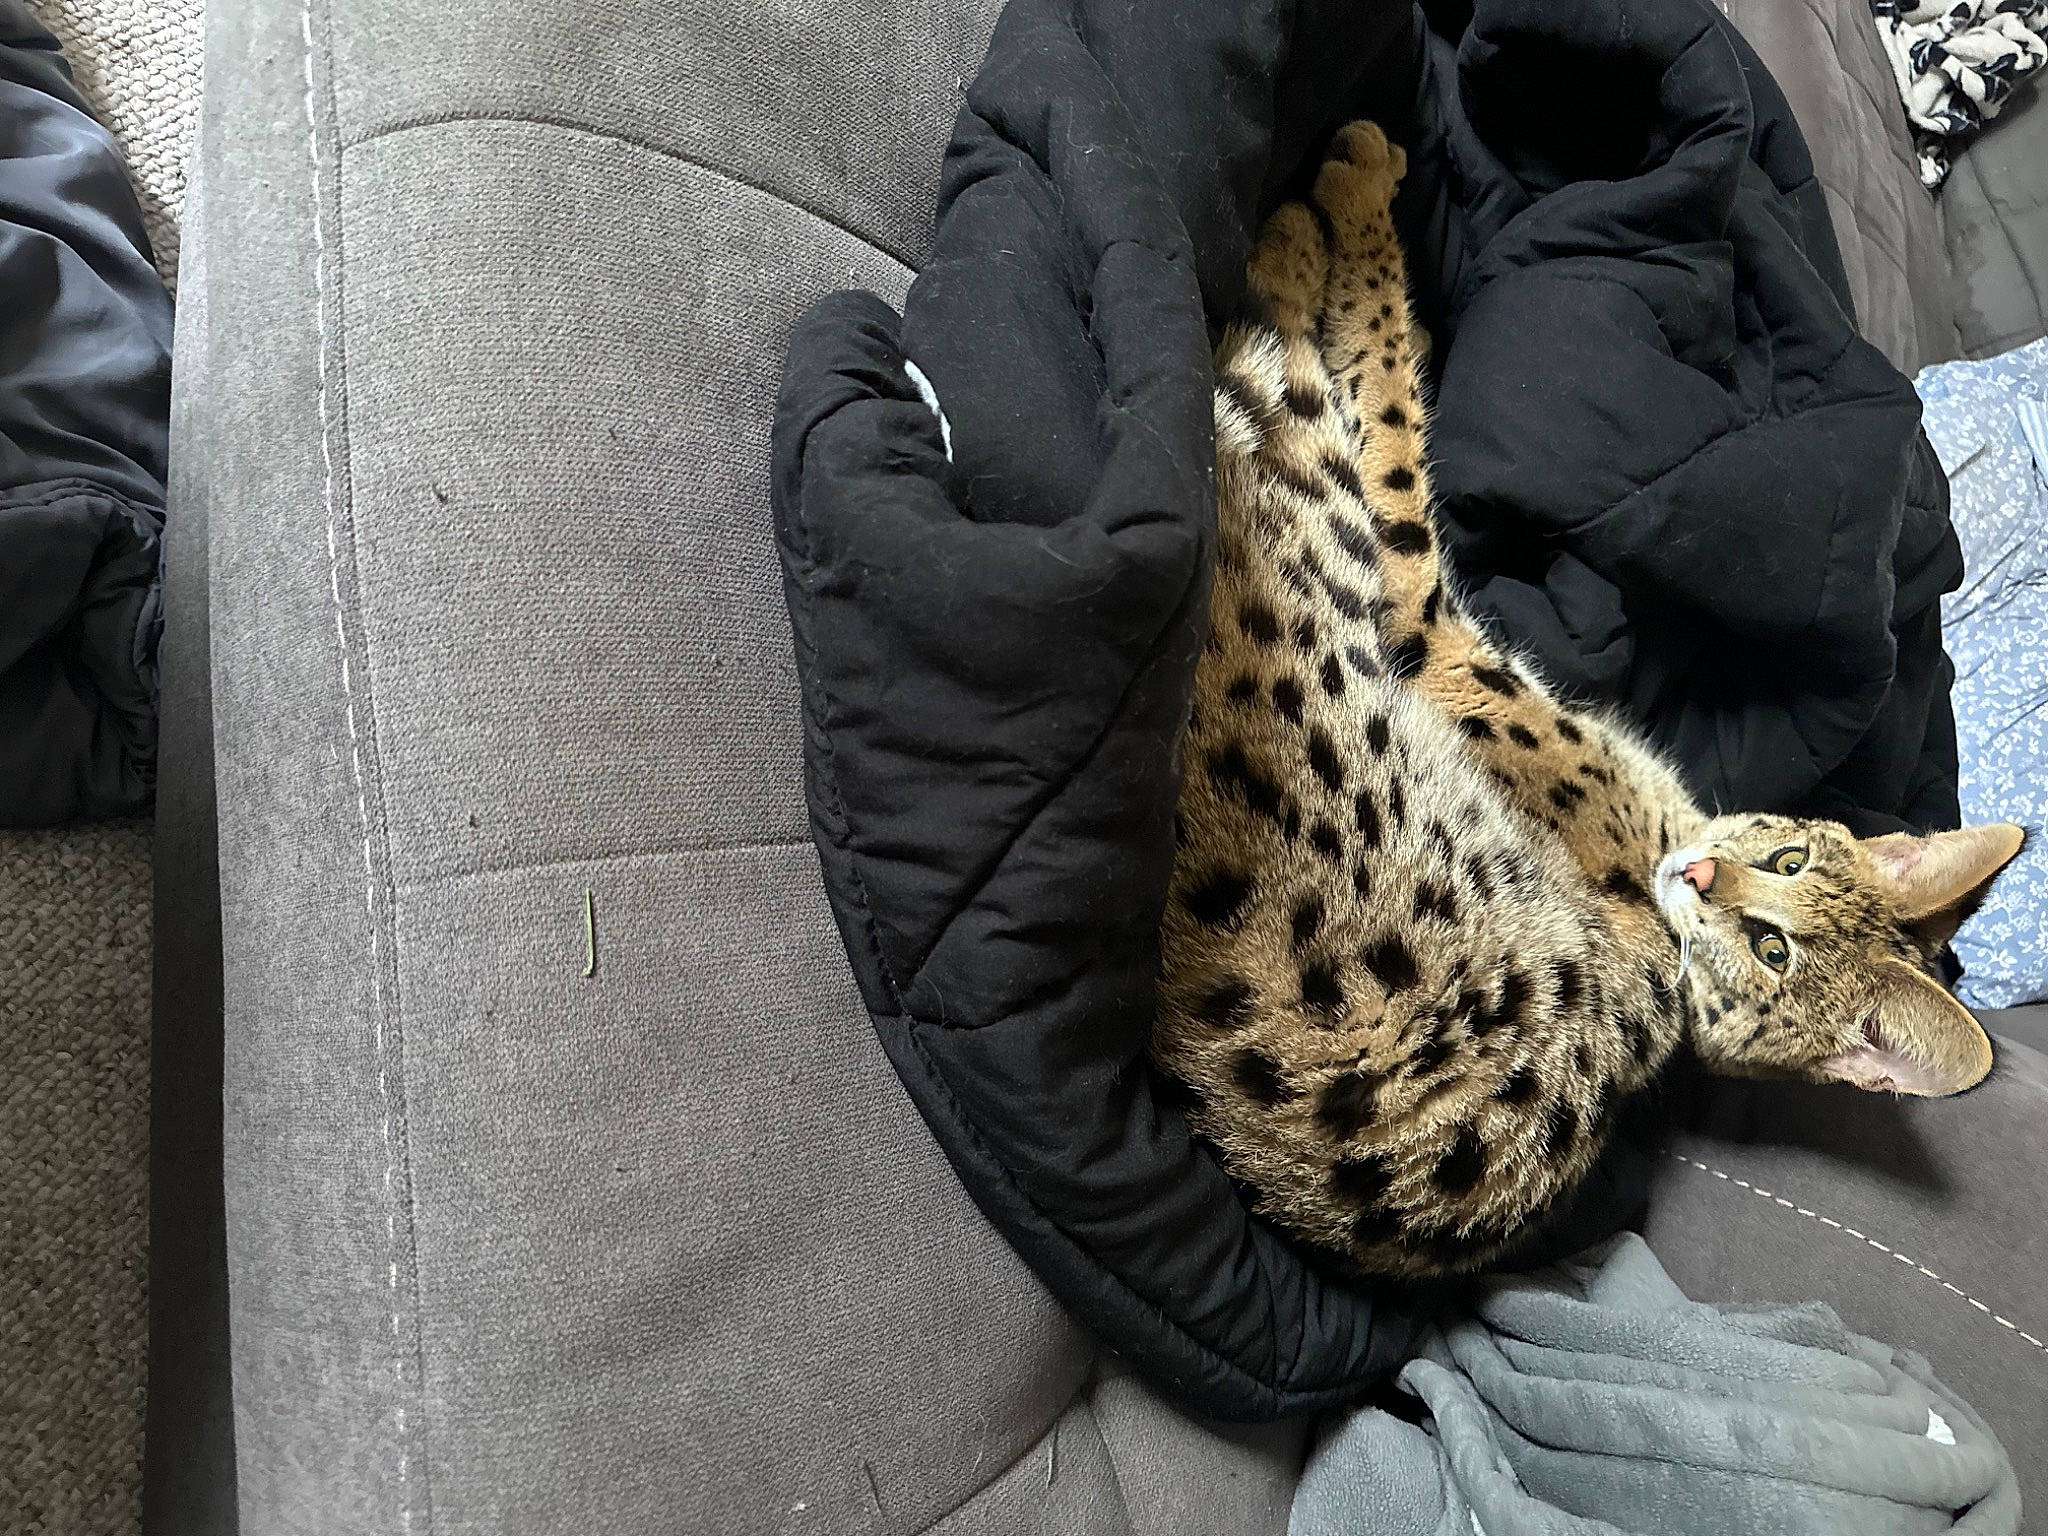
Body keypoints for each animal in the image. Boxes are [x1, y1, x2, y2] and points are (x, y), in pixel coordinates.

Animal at [1152, 121, 2026, 1280]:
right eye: (1790, 860)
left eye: (1772, 951)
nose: (1700, 875)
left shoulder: (1423, 629)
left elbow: (1392, 409)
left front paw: (1354, 194)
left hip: (1309, 562)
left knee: (1282, 379)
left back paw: (1298, 233)